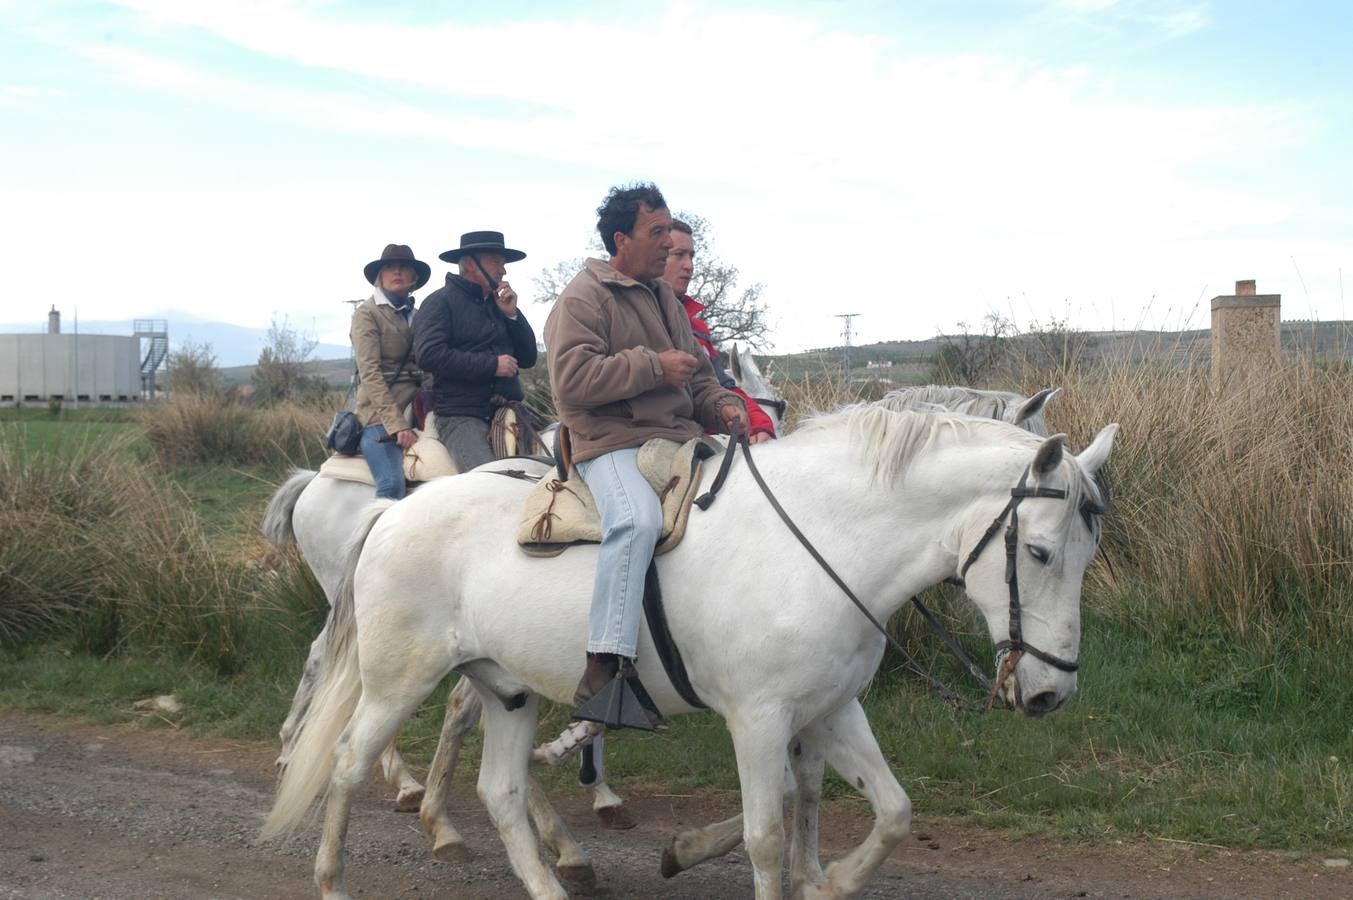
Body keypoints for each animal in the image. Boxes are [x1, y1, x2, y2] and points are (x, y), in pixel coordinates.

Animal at [261, 403, 1109, 893]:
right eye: (1038, 553)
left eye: (1086, 554)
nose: (1050, 692)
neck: (819, 541)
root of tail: (397, 511)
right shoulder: (760, 719)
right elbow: (766, 835)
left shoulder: (829, 710)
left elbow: (891, 812)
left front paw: (827, 880)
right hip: (397, 677)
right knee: (347, 761)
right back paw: (334, 876)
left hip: (509, 689)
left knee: (499, 790)